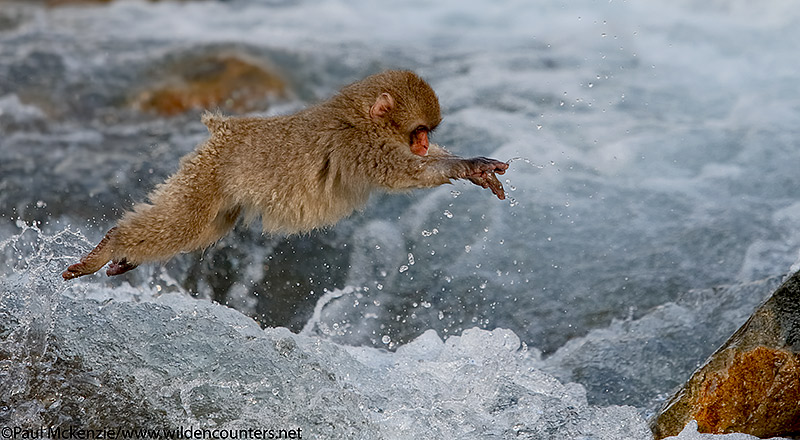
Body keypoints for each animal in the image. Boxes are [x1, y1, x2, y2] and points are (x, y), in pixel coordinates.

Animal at [64, 70, 512, 280]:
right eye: (419, 131)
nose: (421, 144)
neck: (361, 118)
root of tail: (227, 129)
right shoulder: (358, 146)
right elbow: (404, 173)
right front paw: (465, 166)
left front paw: (470, 166)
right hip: (207, 173)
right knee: (184, 223)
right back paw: (112, 243)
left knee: (204, 229)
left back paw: (124, 257)